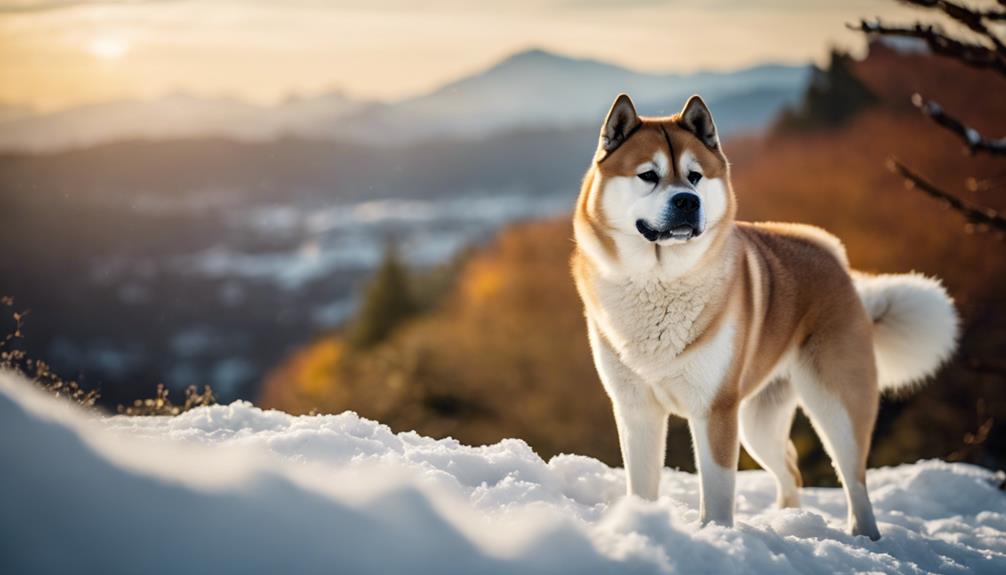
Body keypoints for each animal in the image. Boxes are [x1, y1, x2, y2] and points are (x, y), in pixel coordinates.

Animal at [575, 91, 957, 538]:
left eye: (695, 176)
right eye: (648, 175)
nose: (687, 201)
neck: (659, 280)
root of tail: (839, 264)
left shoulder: (715, 409)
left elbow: (717, 489)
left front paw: (716, 535)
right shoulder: (636, 408)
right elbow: (641, 483)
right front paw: (642, 526)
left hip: (835, 403)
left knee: (854, 479)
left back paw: (865, 535)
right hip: (759, 421)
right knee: (791, 469)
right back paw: (787, 520)